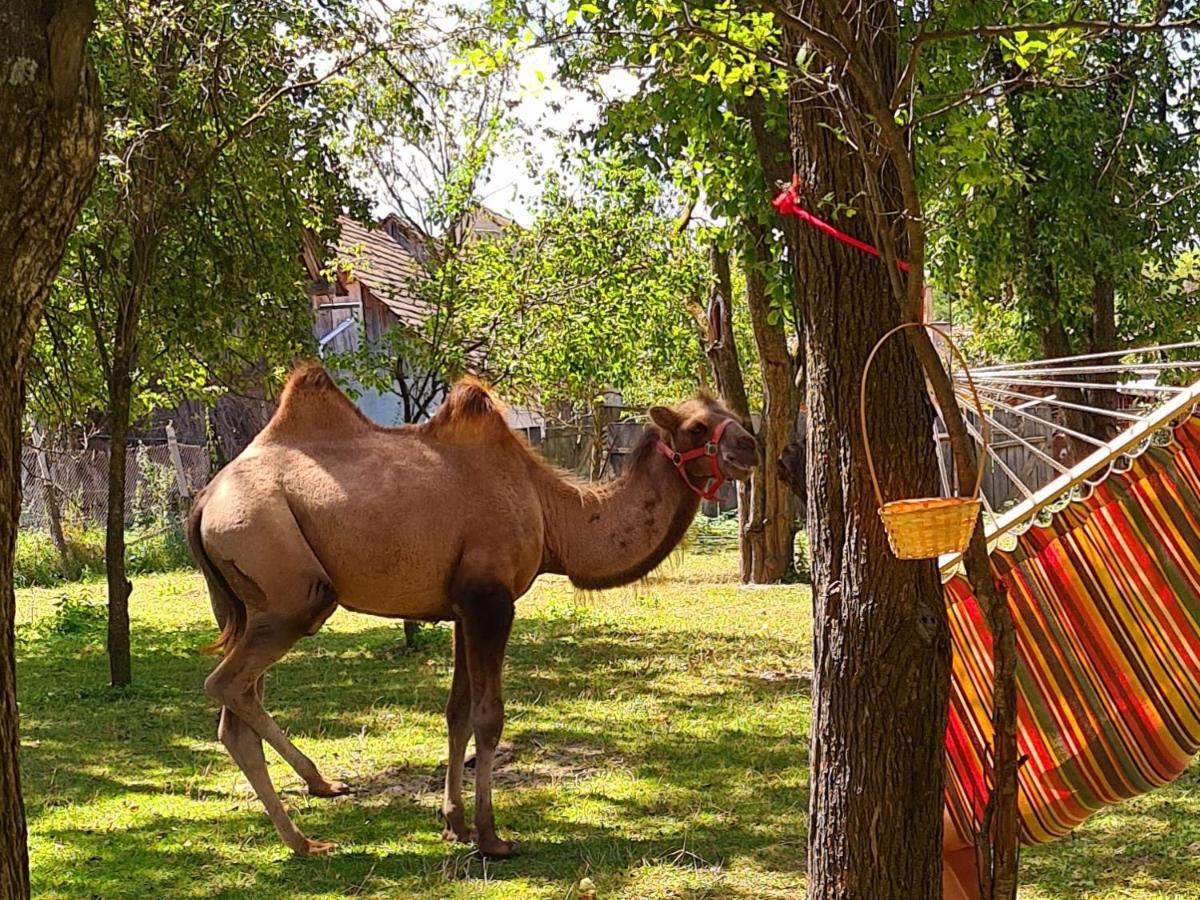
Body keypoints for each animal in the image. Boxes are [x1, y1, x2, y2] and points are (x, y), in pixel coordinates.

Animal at [186, 364, 753, 859]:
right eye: (697, 426)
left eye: (725, 413)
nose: (750, 442)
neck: (552, 514)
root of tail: (204, 501)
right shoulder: (490, 600)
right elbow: (488, 716)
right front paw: (490, 837)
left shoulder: (460, 607)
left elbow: (456, 712)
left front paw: (453, 823)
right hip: (290, 589)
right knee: (226, 684)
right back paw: (310, 822)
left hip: (244, 608)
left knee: (236, 713)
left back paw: (310, 820)